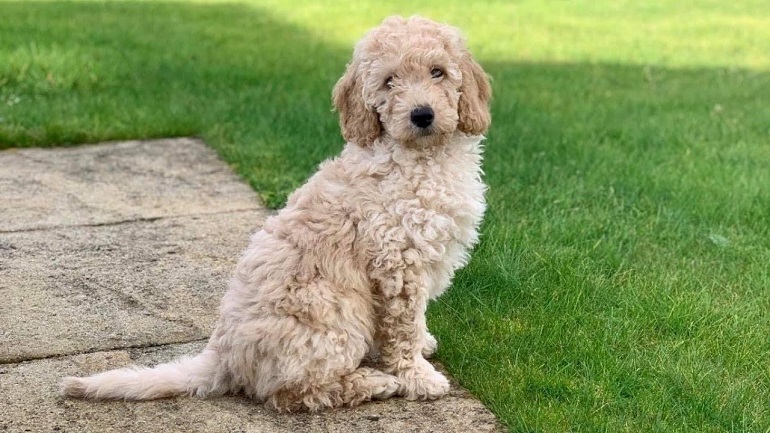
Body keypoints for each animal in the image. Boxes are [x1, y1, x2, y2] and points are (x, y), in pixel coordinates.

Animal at [61, 15, 492, 410]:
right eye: (389, 82)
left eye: (438, 72)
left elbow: (415, 321)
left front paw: (425, 343)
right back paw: (373, 383)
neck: (421, 158)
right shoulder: (397, 263)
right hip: (334, 321)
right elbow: (402, 328)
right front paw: (418, 376)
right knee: (294, 393)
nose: (422, 115)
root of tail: (223, 356)